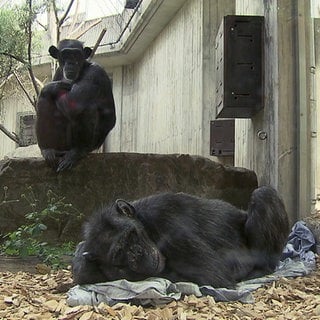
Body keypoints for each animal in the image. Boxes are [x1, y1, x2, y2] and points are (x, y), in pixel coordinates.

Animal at [35, 39, 115, 172]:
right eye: (66, 55)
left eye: (76, 55)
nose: (71, 62)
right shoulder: (58, 72)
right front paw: (54, 86)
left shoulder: (94, 74)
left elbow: (73, 102)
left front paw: (53, 86)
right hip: (61, 145)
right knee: (44, 99)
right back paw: (47, 149)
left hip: (90, 145)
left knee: (86, 108)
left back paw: (77, 151)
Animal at [72, 186, 290, 288]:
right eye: (119, 254)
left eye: (131, 235)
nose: (136, 254)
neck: (146, 224)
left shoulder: (166, 222)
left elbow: (213, 274)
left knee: (263, 194)